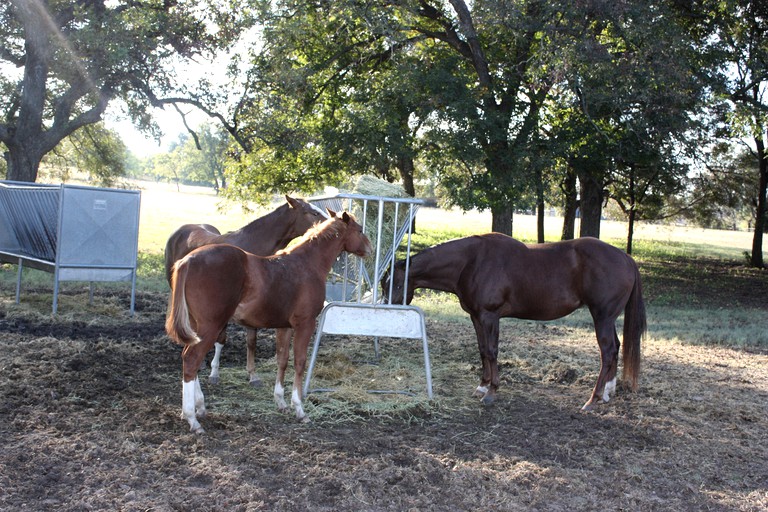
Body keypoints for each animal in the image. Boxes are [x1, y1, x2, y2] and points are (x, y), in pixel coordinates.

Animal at [384, 234, 648, 410]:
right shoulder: (476, 316)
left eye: (395, 284)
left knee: (608, 351)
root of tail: (626, 258)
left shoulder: (490, 316)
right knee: (615, 349)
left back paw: (593, 399)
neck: (471, 262)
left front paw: (491, 392)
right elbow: (482, 350)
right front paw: (482, 386)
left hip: (602, 317)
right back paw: (608, 393)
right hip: (608, 318)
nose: (387, 309)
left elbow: (492, 351)